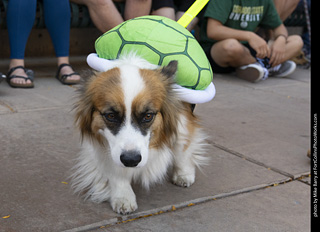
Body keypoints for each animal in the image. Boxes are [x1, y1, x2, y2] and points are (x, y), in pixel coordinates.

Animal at [71, 54, 209, 214]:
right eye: (111, 116)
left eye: (148, 116)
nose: (131, 160)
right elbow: (114, 169)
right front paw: (123, 196)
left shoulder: (181, 117)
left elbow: (182, 147)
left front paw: (184, 173)